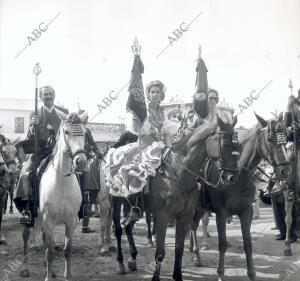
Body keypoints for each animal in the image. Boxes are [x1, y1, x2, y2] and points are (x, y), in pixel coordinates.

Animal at [20, 111, 86, 280]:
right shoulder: (49, 219)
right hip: (30, 216)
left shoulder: (71, 221)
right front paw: (48, 277)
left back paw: (51, 270)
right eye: (67, 132)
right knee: (26, 236)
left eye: (84, 133)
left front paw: (67, 275)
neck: (62, 181)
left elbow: (67, 250)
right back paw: (25, 268)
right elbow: (50, 252)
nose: (81, 161)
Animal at [190, 112, 290, 280]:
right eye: (270, 139)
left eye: (286, 137)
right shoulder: (221, 213)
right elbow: (222, 244)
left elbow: (248, 243)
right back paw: (196, 255)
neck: (238, 178)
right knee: (192, 226)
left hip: (202, 208)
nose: (285, 171)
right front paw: (221, 274)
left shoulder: (246, 211)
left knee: (193, 225)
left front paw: (252, 274)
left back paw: (194, 253)